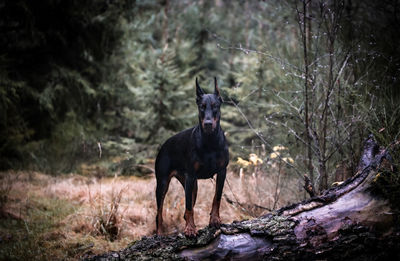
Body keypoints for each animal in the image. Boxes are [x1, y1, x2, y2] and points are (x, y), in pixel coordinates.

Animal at [155, 76, 230, 236]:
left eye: (215, 106)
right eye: (202, 106)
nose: (208, 123)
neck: (210, 141)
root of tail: (164, 144)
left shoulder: (222, 171)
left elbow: (217, 197)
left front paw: (215, 219)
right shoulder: (190, 175)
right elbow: (189, 207)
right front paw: (190, 228)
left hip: (193, 185)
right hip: (163, 183)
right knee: (159, 213)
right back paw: (159, 234)